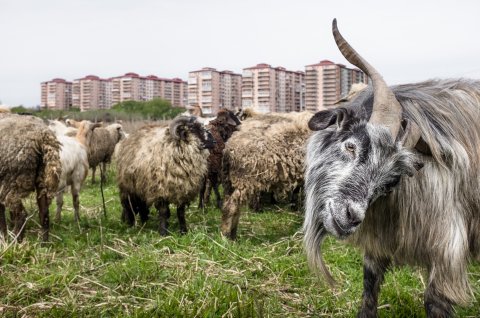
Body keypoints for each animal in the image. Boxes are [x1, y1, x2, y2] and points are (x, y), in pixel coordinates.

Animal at [220, 109, 314, 238]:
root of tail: (229, 147)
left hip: (232, 182)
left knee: (228, 204)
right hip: (245, 180)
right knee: (231, 206)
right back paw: (227, 236)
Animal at [306, 18, 480, 316]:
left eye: (391, 180)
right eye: (351, 146)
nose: (351, 217)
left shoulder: (447, 248)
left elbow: (435, 302)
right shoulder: (378, 244)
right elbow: (369, 286)